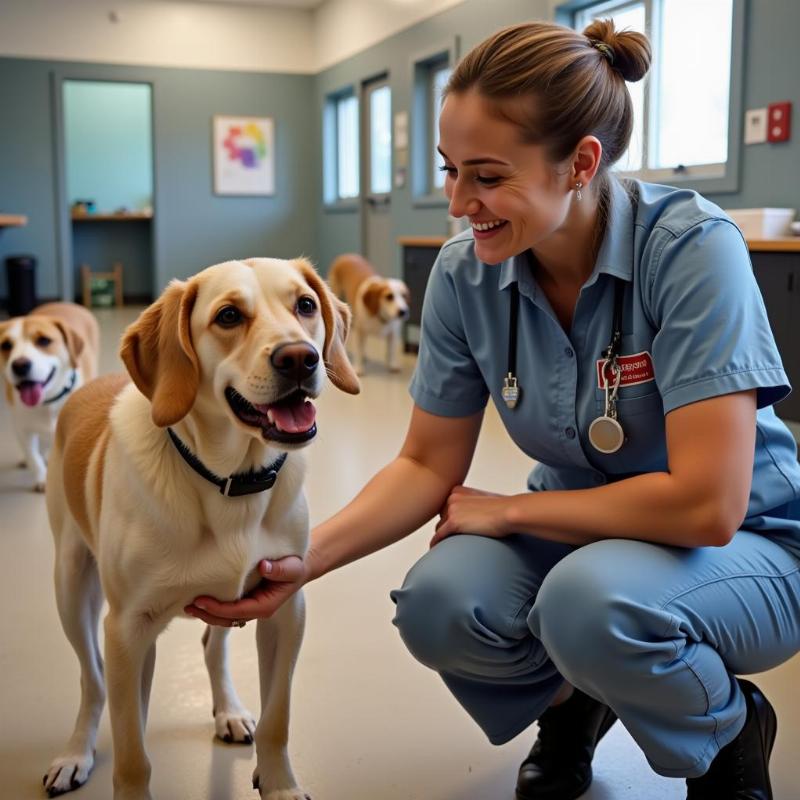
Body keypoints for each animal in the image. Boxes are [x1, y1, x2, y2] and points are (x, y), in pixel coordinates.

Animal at [0, 304, 99, 490]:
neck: (47, 403)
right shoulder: (22, 429)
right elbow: (33, 456)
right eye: (6, 345)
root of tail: (64, 303)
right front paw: (41, 477)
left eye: (44, 341)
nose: (20, 365)